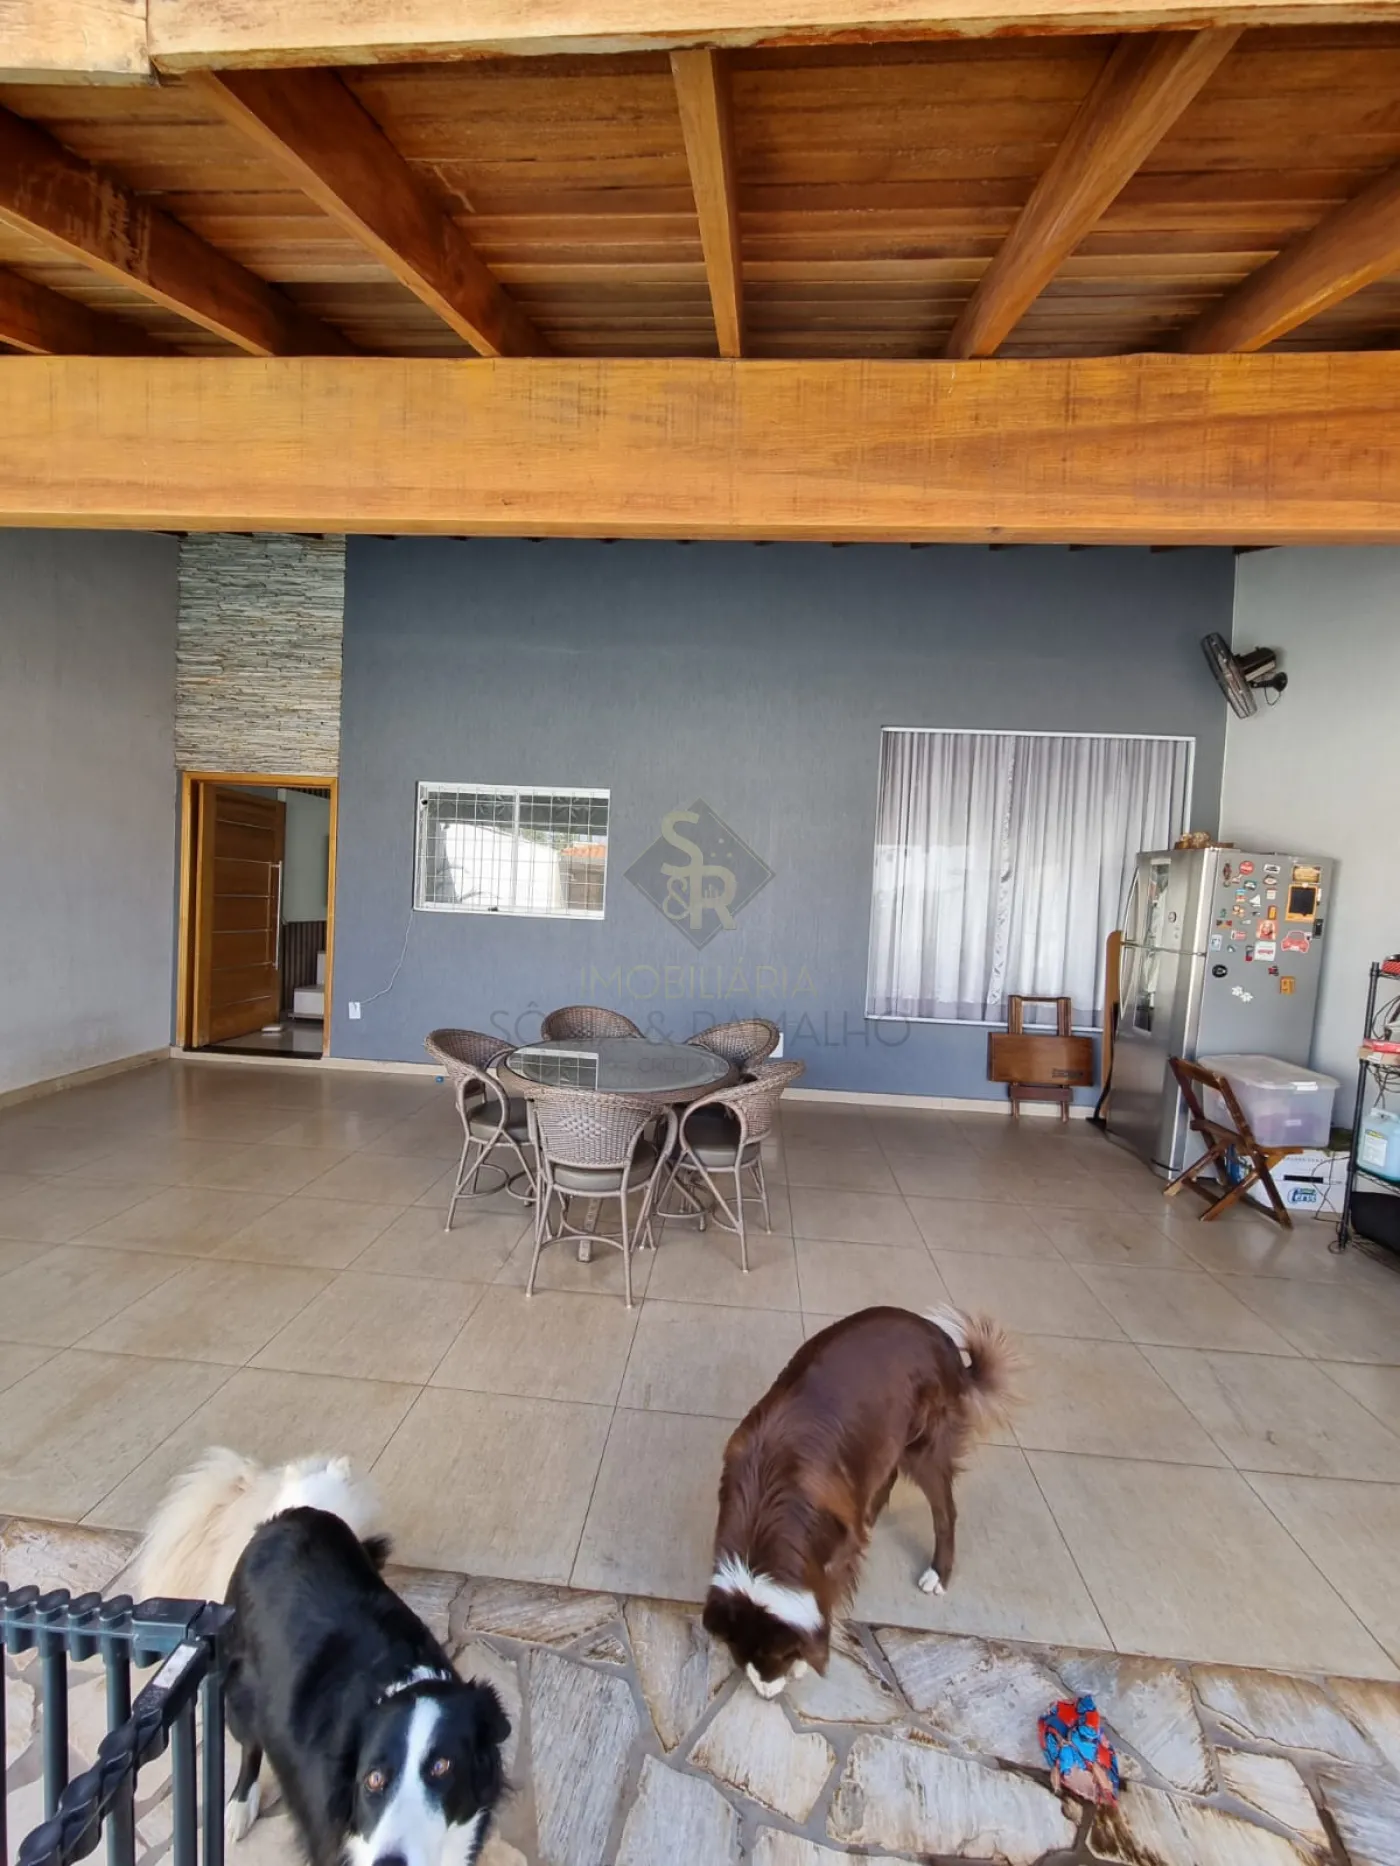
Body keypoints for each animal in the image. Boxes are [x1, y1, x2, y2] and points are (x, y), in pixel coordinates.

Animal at [138, 1451, 509, 1866]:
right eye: (373, 1779)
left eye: (443, 1767)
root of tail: (290, 1515)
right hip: (240, 1692)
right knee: (250, 1746)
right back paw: (239, 1808)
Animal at [703, 1306, 1018, 1698]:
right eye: (739, 1653)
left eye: (780, 1656)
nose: (765, 1694)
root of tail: (942, 1341)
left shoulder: (831, 1558)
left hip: (924, 1447)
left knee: (945, 1510)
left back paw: (937, 1573)